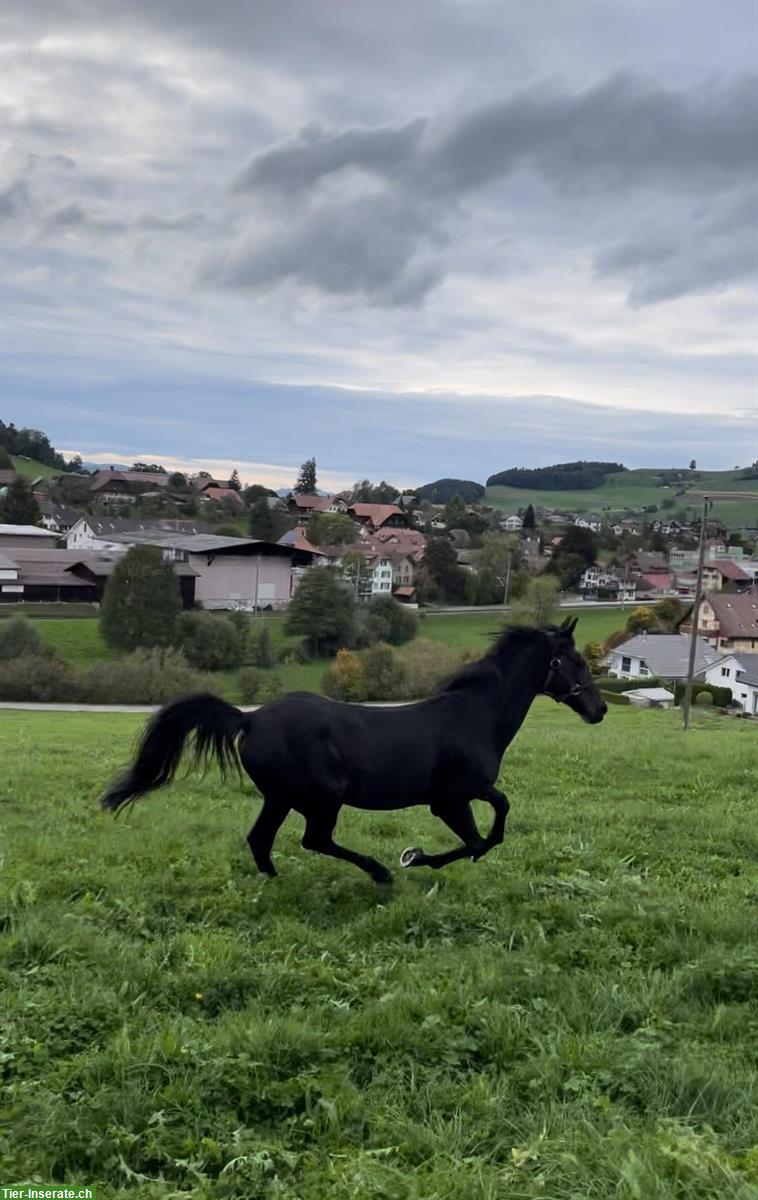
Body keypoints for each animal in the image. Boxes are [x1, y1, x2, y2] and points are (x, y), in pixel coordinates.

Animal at [103, 619, 606, 883]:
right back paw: (378, 872)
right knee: (314, 840)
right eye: (576, 661)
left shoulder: (467, 793)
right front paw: (415, 858)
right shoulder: (450, 799)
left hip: (280, 797)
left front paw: (424, 857)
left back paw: (276, 881)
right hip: (320, 798)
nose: (599, 710)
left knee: (261, 839)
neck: (474, 717)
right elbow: (482, 837)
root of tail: (250, 719)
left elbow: (496, 820)